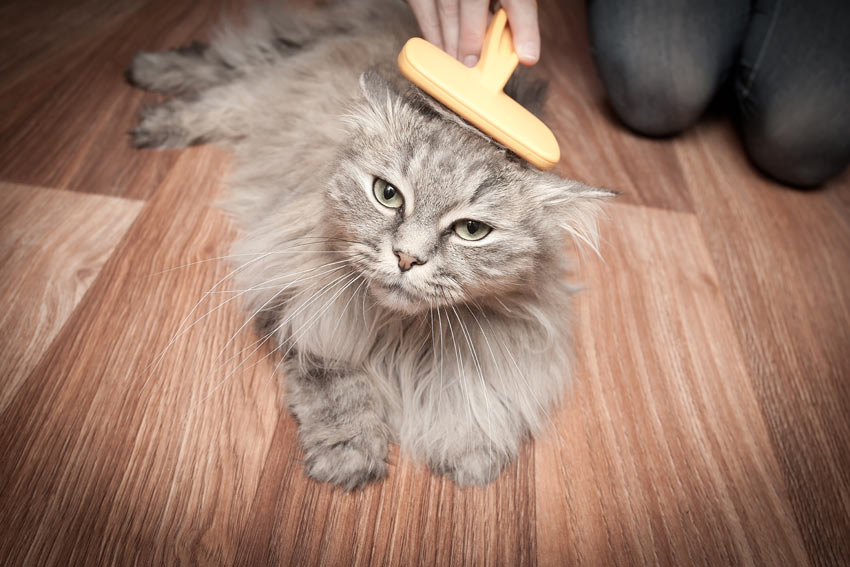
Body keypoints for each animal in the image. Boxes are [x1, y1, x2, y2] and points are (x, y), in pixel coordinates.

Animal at [127, 0, 608, 488]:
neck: (402, 331)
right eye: (387, 194)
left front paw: (472, 455)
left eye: (471, 231)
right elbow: (340, 386)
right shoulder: (301, 308)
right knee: (226, 79)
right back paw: (151, 94)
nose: (407, 257)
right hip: (272, 78)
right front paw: (350, 453)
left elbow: (477, 401)